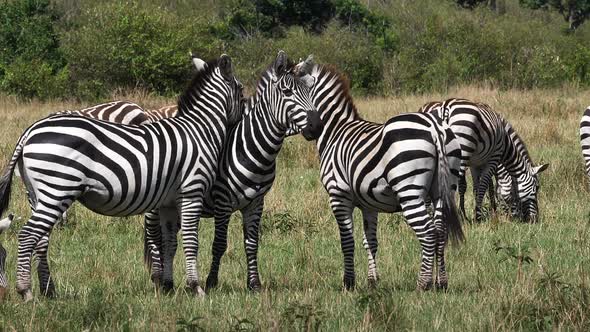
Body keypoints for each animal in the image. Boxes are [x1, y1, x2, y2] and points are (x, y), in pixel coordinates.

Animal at [0, 53, 247, 300]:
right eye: (242, 90)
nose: (243, 121)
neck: (200, 130)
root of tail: (30, 130)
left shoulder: (168, 202)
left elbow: (169, 243)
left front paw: (168, 286)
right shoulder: (191, 191)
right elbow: (190, 241)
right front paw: (196, 288)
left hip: (37, 193)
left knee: (40, 239)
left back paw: (47, 290)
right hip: (57, 189)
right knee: (27, 235)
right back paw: (26, 291)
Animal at [147, 53, 324, 290]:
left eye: (310, 90)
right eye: (287, 92)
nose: (317, 126)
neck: (253, 149)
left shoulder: (256, 203)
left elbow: (252, 244)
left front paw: (254, 284)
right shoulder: (222, 202)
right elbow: (219, 244)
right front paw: (212, 282)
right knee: (153, 237)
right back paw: (158, 279)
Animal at [420, 98, 552, 223]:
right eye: (537, 187)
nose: (533, 219)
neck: (506, 144)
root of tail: (445, 107)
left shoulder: (475, 163)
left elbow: (477, 187)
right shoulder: (493, 159)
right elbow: (486, 185)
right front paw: (480, 216)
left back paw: (430, 214)